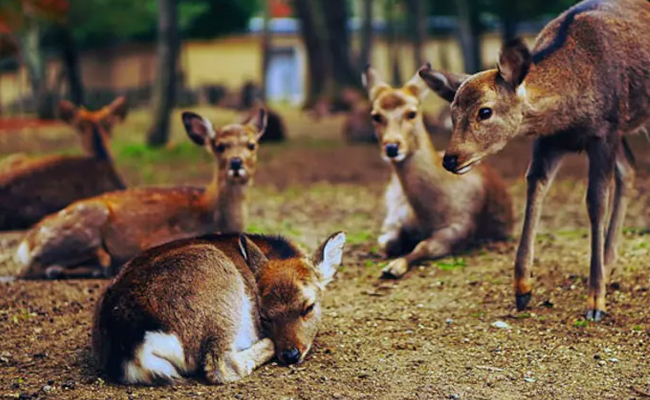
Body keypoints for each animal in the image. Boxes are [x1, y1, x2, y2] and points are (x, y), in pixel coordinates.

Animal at [92, 231, 346, 385]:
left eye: (308, 307)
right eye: (264, 316)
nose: (291, 354)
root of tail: (132, 345)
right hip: (219, 295)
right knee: (220, 365)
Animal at [362, 66, 514, 279]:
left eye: (412, 113)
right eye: (375, 115)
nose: (392, 147)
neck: (428, 214)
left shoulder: (460, 226)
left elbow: (423, 246)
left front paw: (393, 267)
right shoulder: (396, 217)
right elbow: (387, 242)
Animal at [418, 0, 650, 321]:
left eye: (485, 111)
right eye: (452, 112)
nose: (451, 159)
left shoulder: (605, 131)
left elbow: (595, 202)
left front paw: (595, 301)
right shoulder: (549, 140)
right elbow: (534, 187)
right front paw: (522, 289)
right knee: (629, 166)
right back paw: (608, 259)